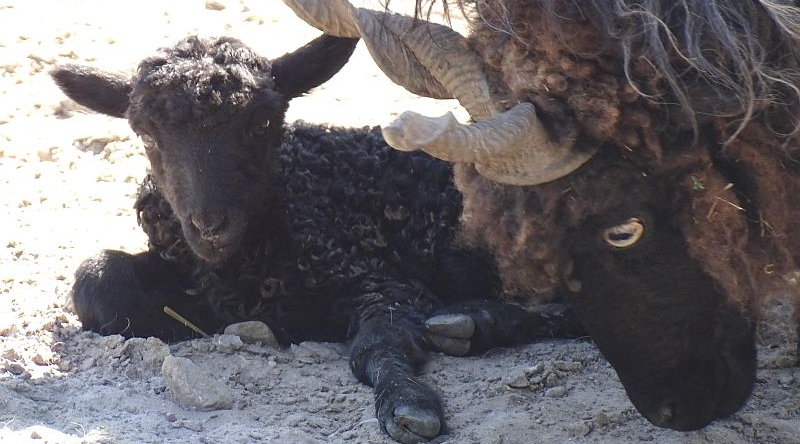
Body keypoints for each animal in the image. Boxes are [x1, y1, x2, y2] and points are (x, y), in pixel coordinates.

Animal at [50, 35, 580, 444]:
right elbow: (95, 281)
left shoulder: (377, 273)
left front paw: (407, 404)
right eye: (146, 135)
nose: (209, 225)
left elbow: (380, 340)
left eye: (262, 123)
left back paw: (476, 320)